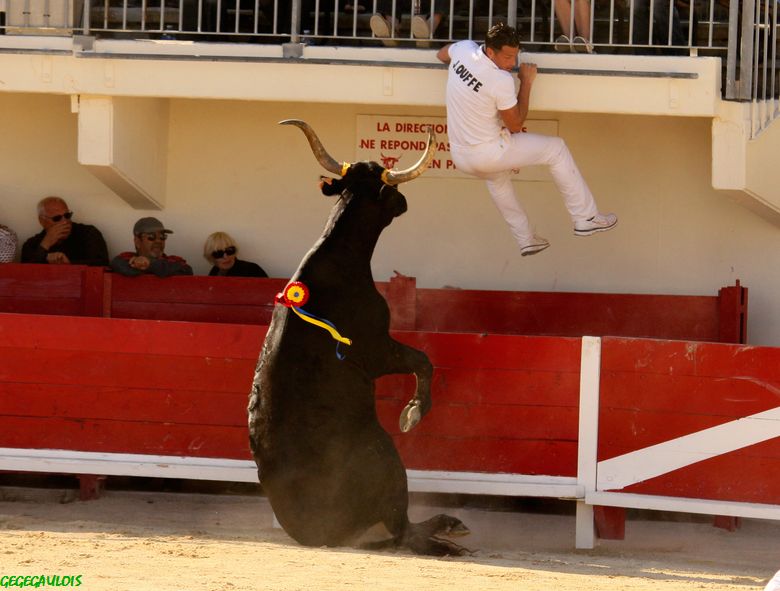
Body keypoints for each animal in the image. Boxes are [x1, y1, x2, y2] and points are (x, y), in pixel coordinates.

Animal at [250, 119, 470, 556]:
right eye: (388, 187)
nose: (403, 202)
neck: (341, 261)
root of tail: (320, 536)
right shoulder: (377, 350)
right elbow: (423, 361)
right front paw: (412, 414)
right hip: (387, 458)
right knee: (403, 530)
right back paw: (447, 536)